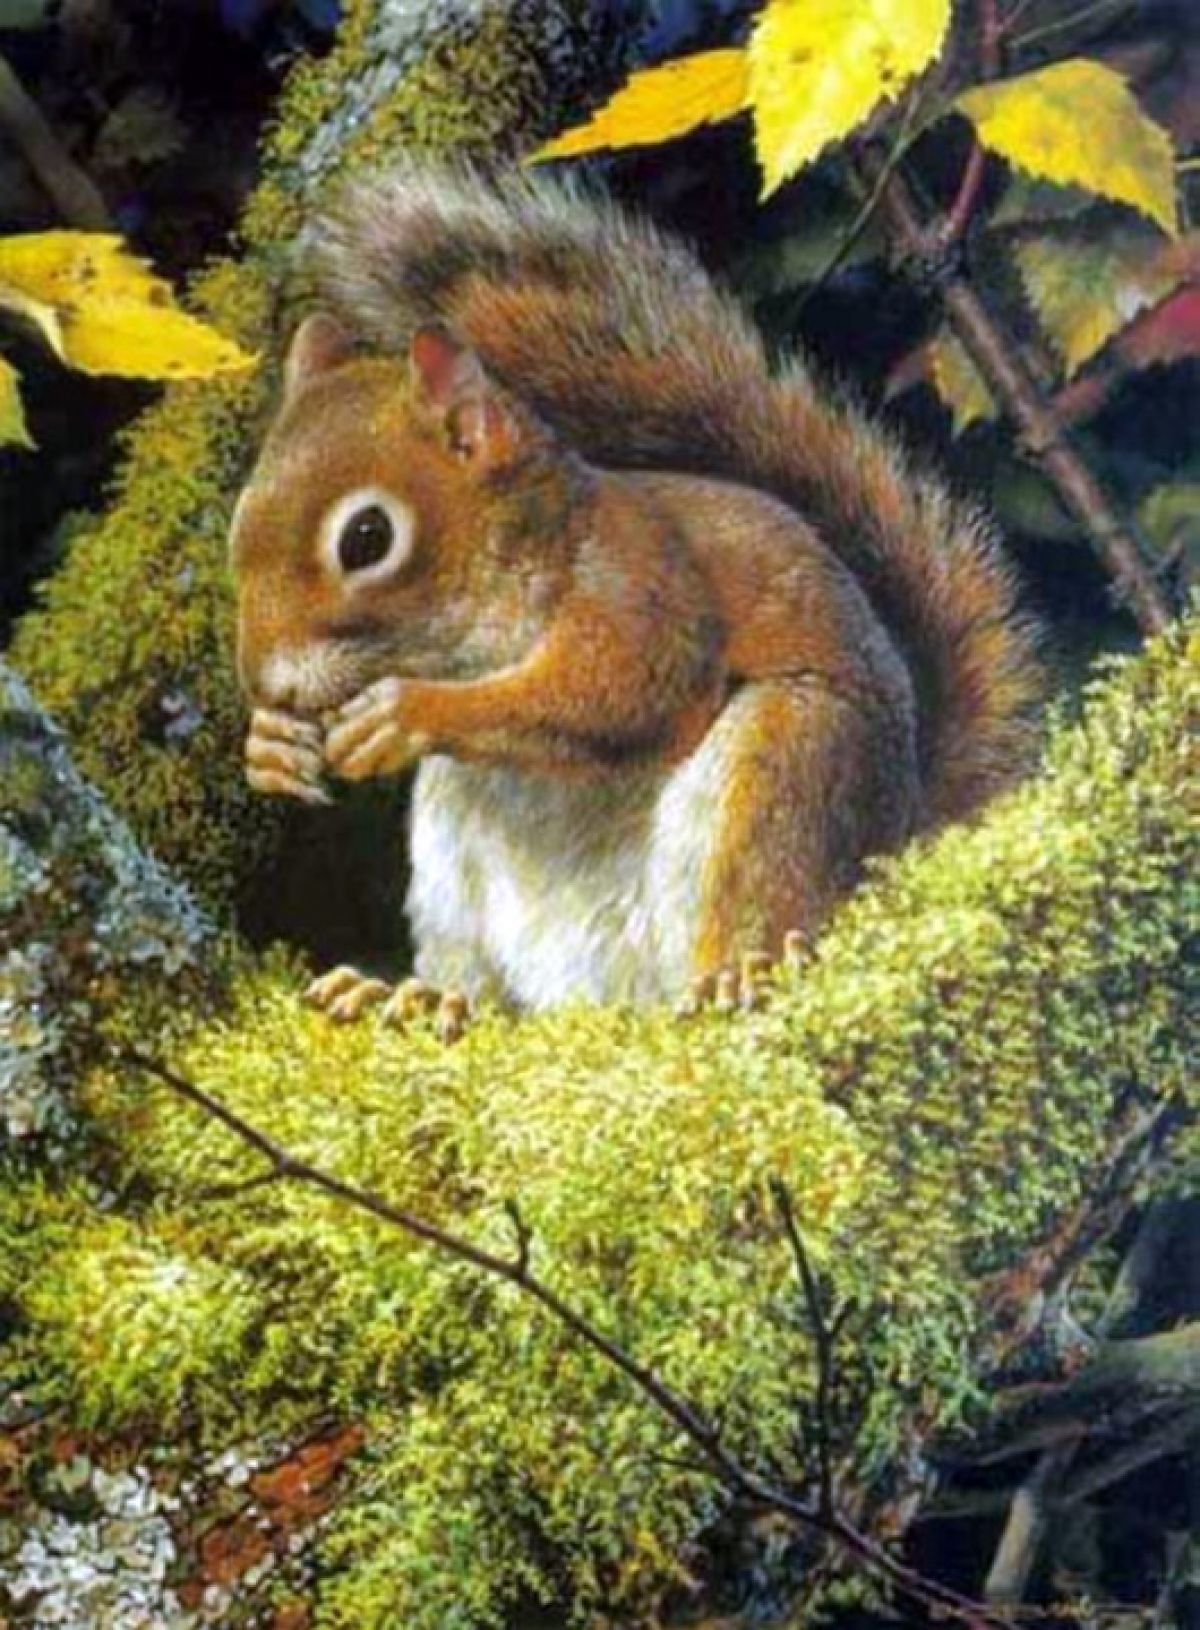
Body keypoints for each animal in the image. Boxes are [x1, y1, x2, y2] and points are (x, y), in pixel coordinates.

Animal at [229, 161, 1040, 1027]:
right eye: (239, 518)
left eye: (367, 538)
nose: (265, 682)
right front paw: (270, 747)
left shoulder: (645, 580)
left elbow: (625, 694)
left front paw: (408, 711)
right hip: (451, 855)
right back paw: (417, 993)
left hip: (789, 767)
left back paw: (737, 973)